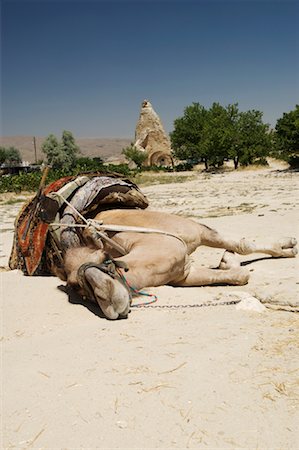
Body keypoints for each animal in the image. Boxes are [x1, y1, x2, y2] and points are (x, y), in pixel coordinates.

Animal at [59, 208, 298, 320]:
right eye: (76, 286)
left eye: (103, 259)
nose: (108, 298)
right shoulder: (185, 274)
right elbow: (238, 276)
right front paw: (226, 262)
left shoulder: (197, 232)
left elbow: (243, 246)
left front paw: (288, 247)